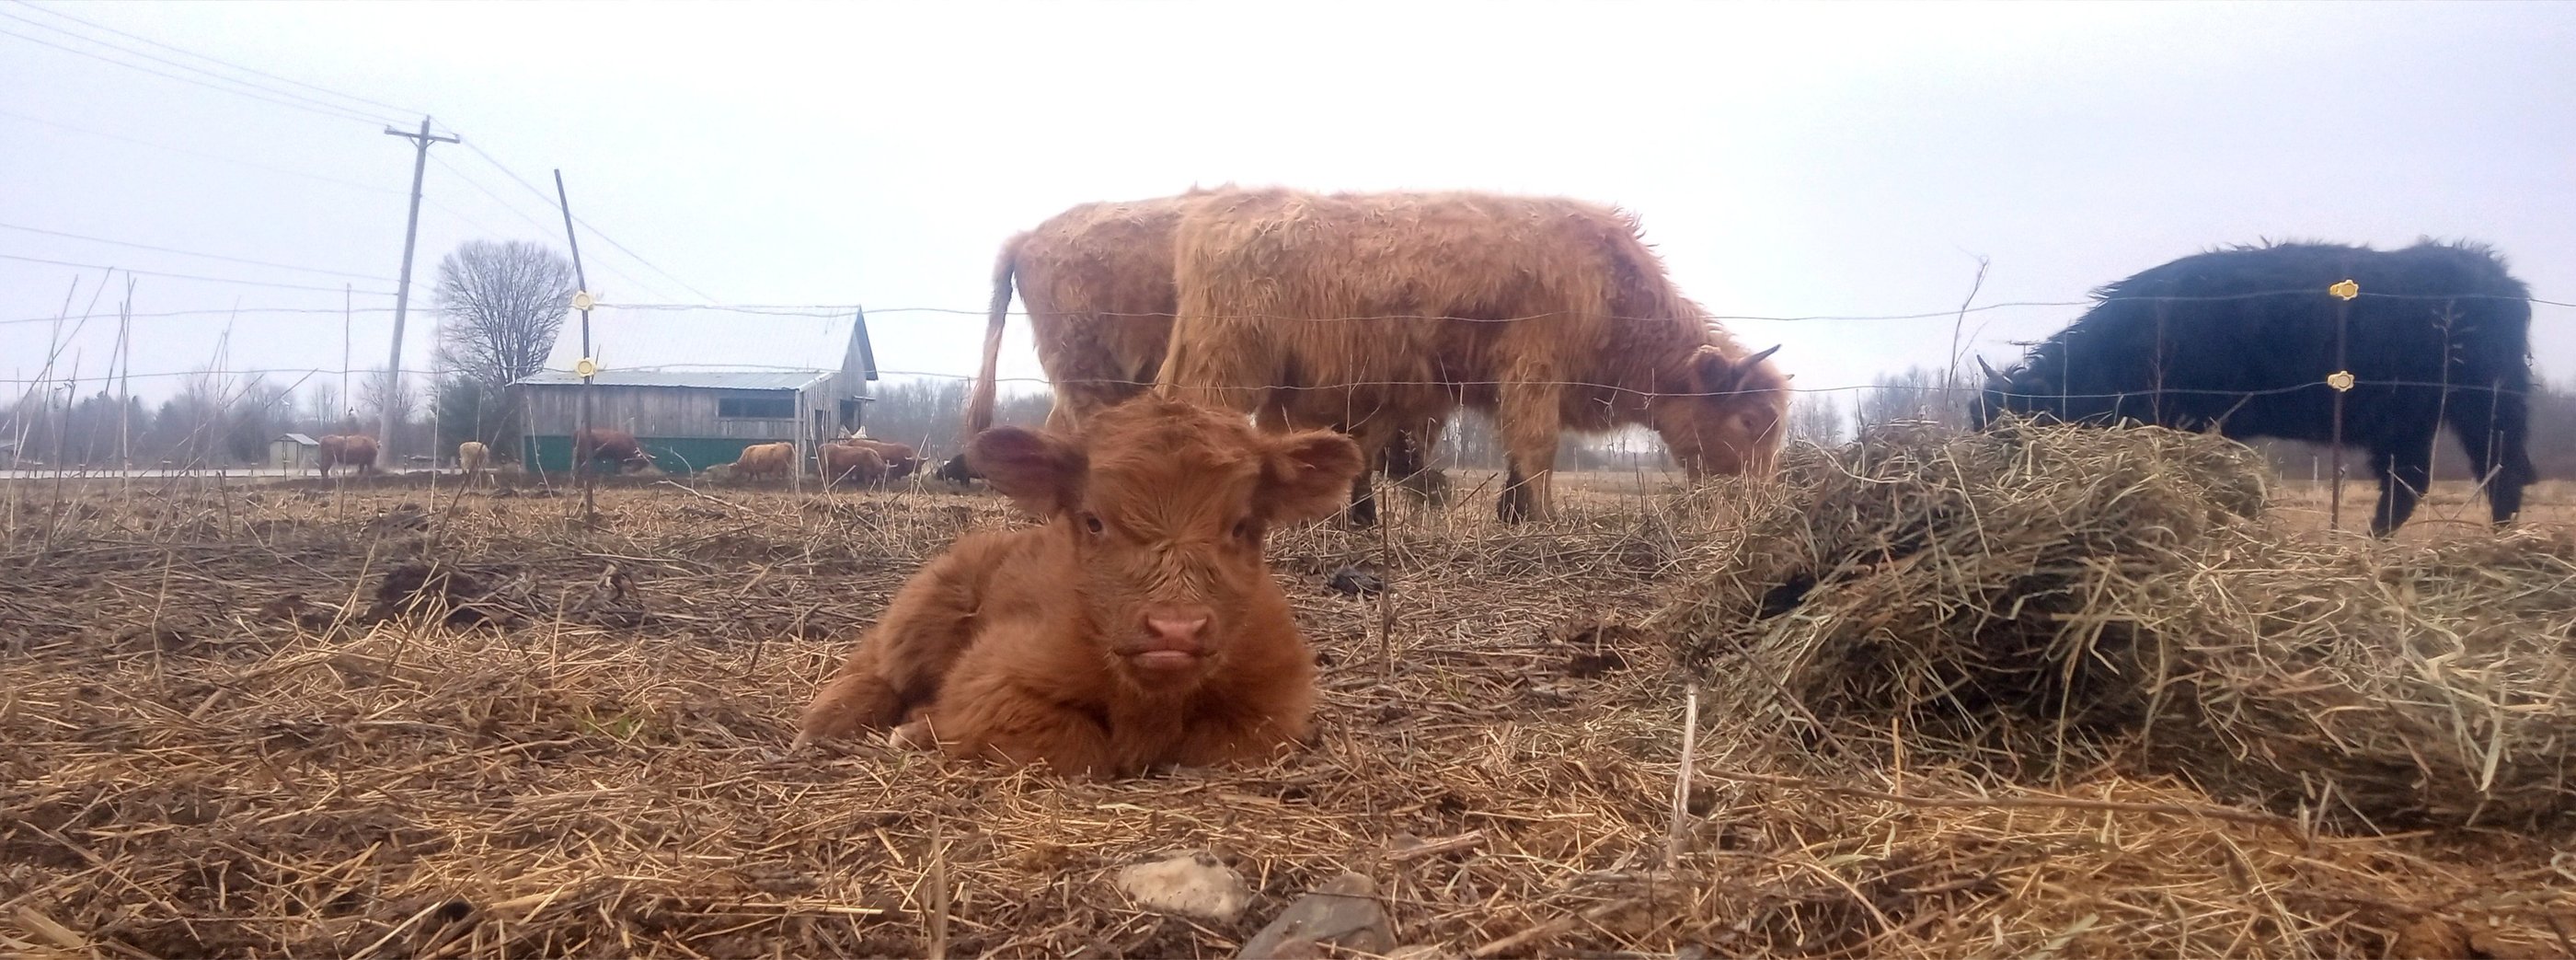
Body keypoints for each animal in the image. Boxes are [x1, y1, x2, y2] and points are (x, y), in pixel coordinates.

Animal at [793, 396, 1365, 779]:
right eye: (1093, 521)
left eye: (1242, 526)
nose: (1175, 629)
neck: (1149, 702)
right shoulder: (990, 675)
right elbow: (1077, 746)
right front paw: (923, 726)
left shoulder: (1277, 706)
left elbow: (1213, 746)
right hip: (929, 602)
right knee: (876, 669)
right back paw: (828, 725)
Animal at [1150, 187, 1791, 523]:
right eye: (1749, 420)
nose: (1760, 499)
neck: (1614, 294)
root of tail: (1223, 206)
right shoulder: (1533, 373)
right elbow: (1537, 448)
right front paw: (1543, 521)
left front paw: (1511, 514)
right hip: (1227, 368)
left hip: (1283, 387)